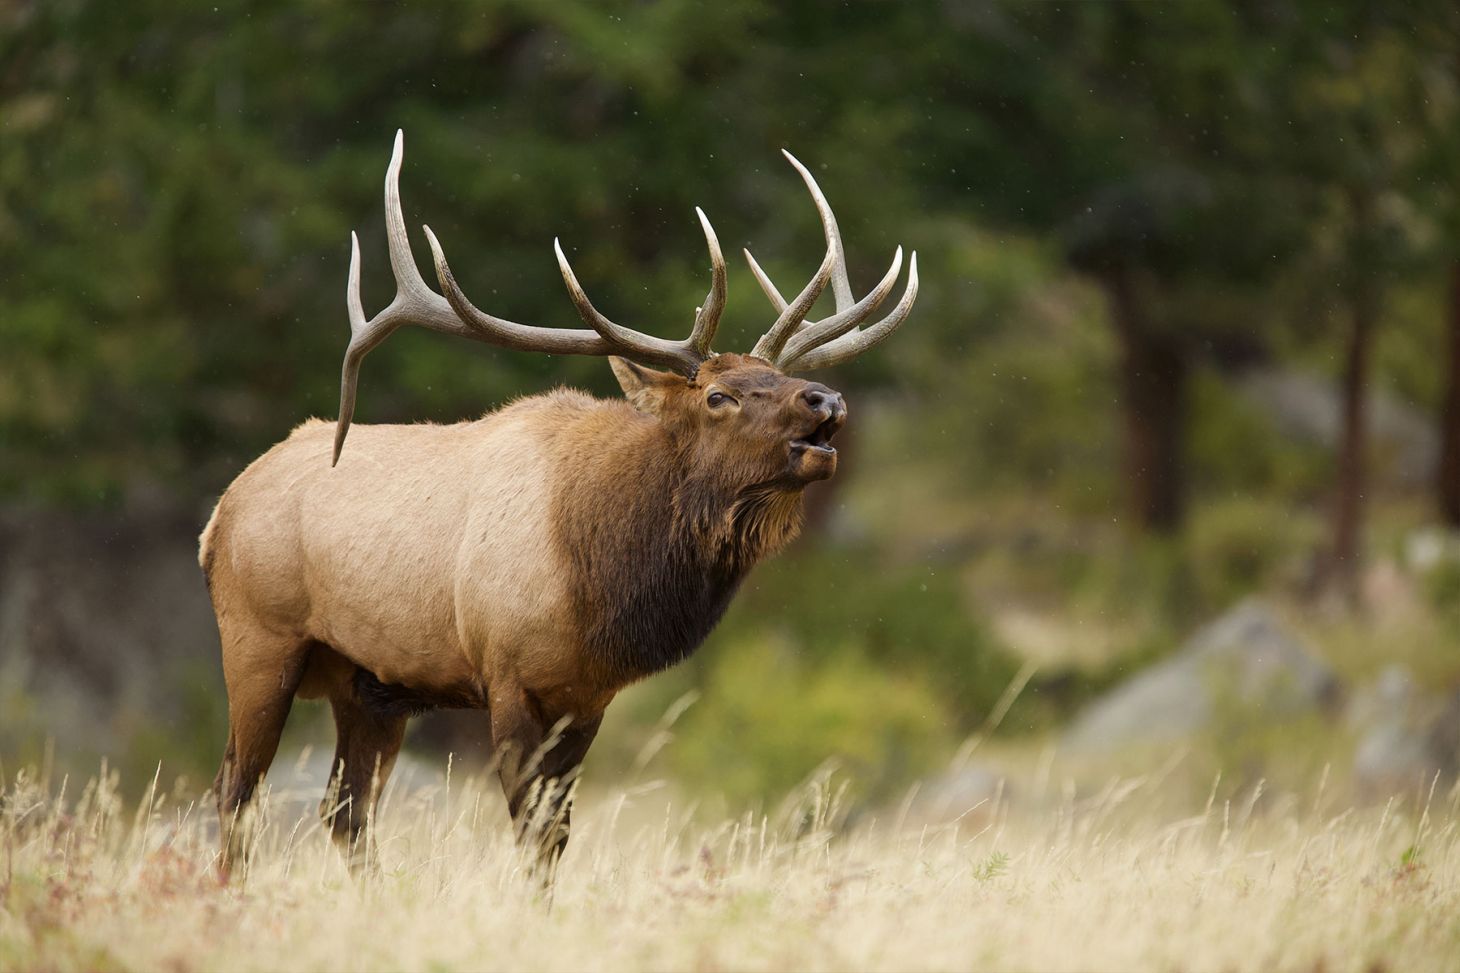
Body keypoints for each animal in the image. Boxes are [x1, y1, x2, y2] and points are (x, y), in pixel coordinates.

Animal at [199, 131, 918, 879]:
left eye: (775, 376)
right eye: (718, 395)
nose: (826, 399)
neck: (599, 580)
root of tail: (219, 513)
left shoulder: (586, 699)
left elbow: (557, 834)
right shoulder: (507, 675)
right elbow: (531, 828)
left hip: (366, 683)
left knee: (344, 809)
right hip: (258, 639)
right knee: (236, 789)